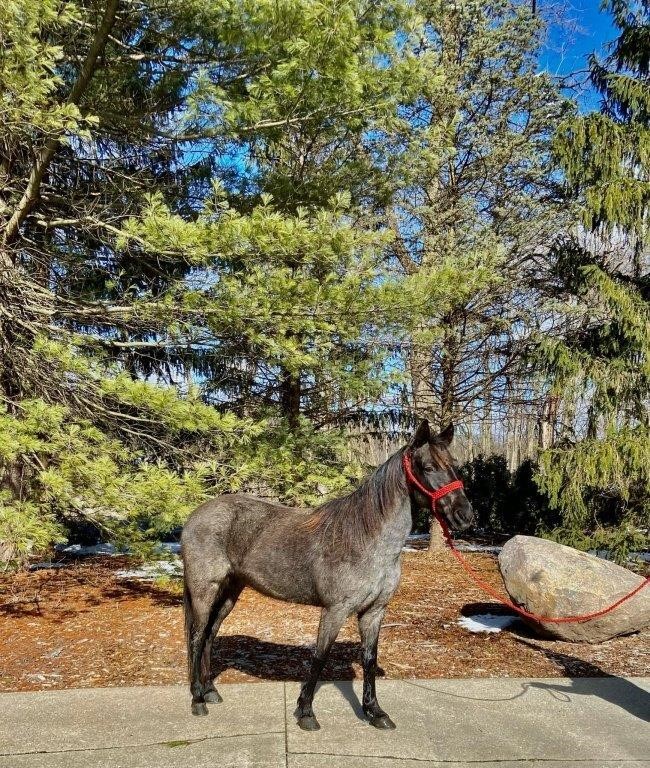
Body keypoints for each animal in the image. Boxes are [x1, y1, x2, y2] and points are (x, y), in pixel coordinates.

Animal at [180, 424, 474, 728]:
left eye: (454, 465)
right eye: (427, 467)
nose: (465, 515)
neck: (366, 538)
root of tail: (194, 517)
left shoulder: (374, 611)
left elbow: (369, 658)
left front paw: (375, 712)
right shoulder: (335, 610)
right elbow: (320, 657)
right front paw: (306, 712)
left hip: (230, 590)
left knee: (210, 634)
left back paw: (210, 691)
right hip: (204, 590)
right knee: (197, 636)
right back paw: (198, 699)